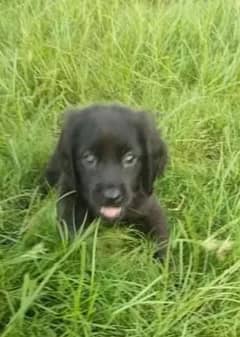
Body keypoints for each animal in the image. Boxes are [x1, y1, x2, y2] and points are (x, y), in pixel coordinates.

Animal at [45, 103, 169, 258]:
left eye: (129, 158)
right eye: (89, 158)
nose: (111, 197)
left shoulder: (150, 209)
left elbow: (160, 240)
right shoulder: (69, 206)